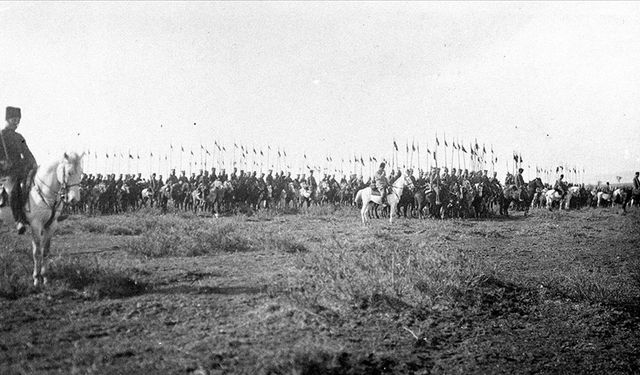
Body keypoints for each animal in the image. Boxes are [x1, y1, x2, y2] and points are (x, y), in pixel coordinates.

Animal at [0, 153, 84, 288]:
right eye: (69, 172)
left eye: (81, 173)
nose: (74, 199)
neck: (45, 191)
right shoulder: (36, 225)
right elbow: (36, 252)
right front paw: (35, 279)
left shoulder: (51, 225)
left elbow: (45, 251)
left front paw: (44, 278)